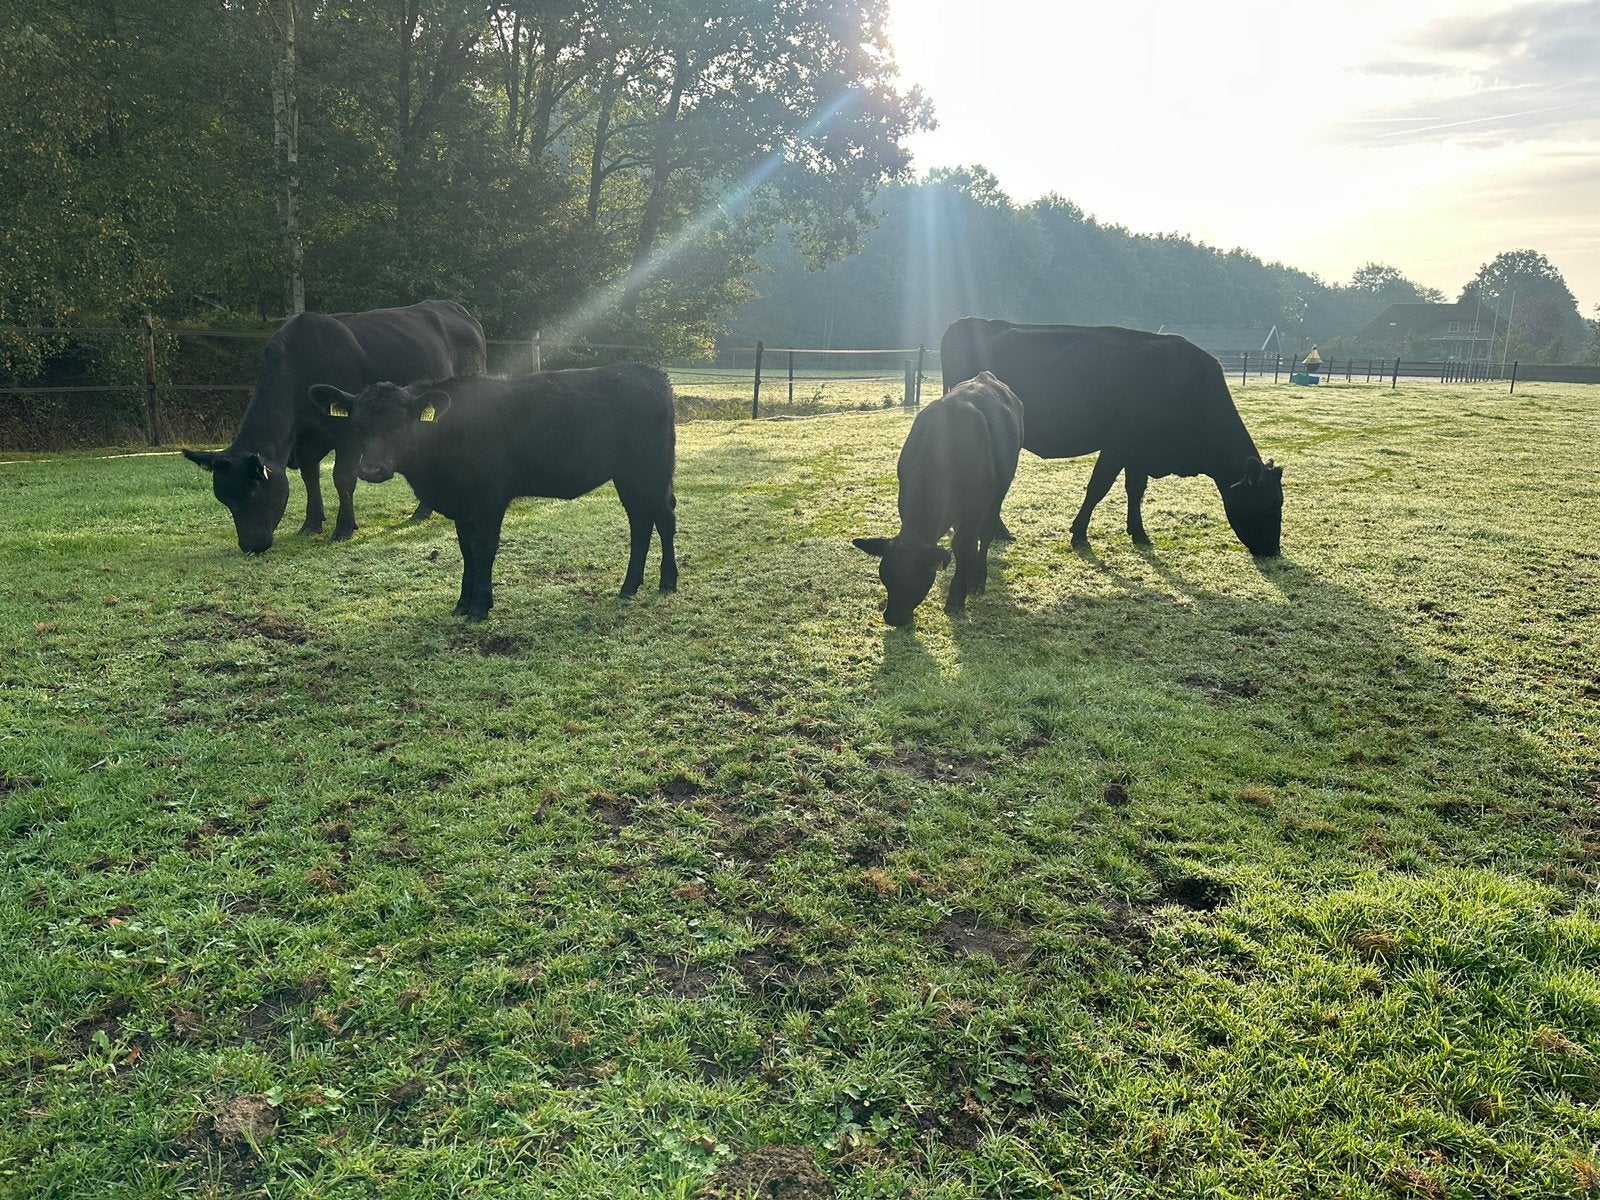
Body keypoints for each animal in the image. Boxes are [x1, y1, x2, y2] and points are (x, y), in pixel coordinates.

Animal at [183, 299, 486, 553]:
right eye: (224, 499)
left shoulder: (348, 433)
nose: (250, 546)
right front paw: (311, 523)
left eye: (254, 493)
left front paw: (344, 528)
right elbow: (310, 476)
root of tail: (456, 308)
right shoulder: (308, 440)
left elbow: (343, 477)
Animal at [310, 363, 678, 622]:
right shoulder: (462, 504)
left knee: (663, 519)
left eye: (402, 424)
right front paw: (463, 603)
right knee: (641, 523)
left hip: (651, 471)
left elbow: (485, 547)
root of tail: (649, 372)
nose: (371, 469)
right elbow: (467, 550)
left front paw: (480, 606)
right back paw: (629, 587)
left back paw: (667, 582)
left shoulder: (490, 497)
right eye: (358, 425)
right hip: (630, 477)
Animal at [853, 371, 1023, 627]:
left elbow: (965, 545)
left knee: (987, 531)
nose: (893, 617)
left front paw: (956, 598)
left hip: (1000, 488)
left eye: (917, 580)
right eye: (885, 577)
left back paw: (977, 576)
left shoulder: (977, 502)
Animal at [940, 317, 1282, 556]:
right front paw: (1079, 534)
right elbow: (1098, 488)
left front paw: (1139, 532)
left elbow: (1135, 490)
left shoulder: (1140, 453)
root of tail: (969, 321)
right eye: (1268, 506)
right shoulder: (1118, 445)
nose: (1273, 551)